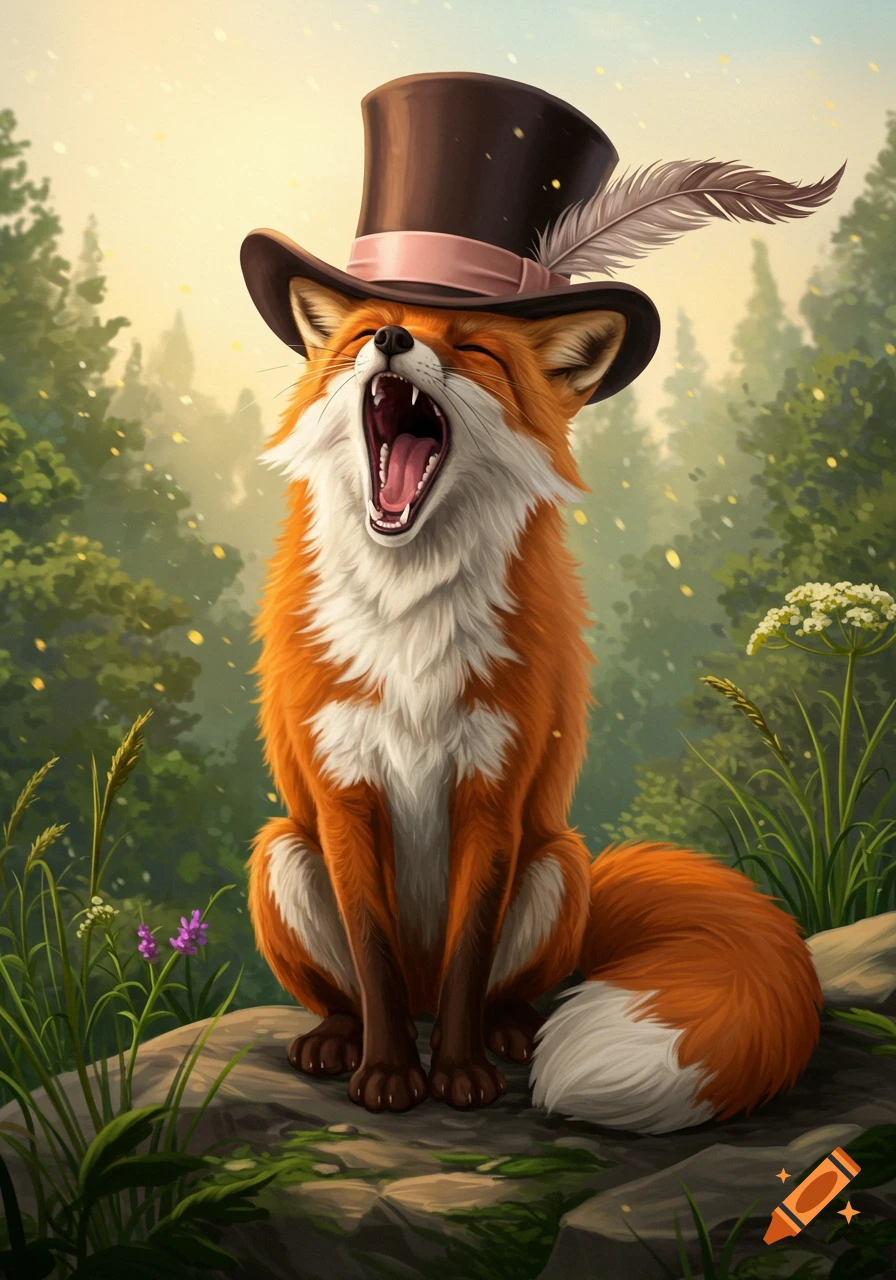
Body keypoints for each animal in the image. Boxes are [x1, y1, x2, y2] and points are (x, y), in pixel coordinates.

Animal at [244, 275, 823, 1134]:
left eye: (474, 348)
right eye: (360, 337)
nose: (389, 339)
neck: (409, 613)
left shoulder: (494, 792)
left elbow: (468, 957)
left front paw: (459, 1075)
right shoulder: (343, 791)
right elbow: (374, 957)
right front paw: (388, 1075)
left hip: (558, 864)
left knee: (497, 992)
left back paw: (509, 1033)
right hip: (283, 849)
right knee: (357, 993)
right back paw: (337, 1039)